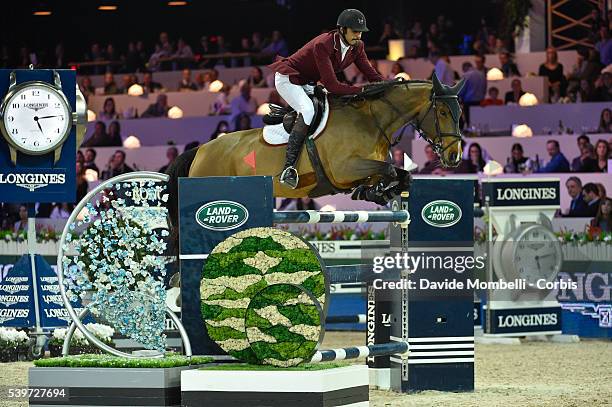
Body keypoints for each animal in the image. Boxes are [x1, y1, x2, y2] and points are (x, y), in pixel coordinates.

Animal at [167, 73, 464, 225]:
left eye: (460, 113)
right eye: (442, 112)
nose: (454, 156)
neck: (372, 120)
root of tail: (200, 151)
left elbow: (400, 174)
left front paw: (377, 192)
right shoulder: (344, 170)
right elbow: (389, 169)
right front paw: (377, 190)